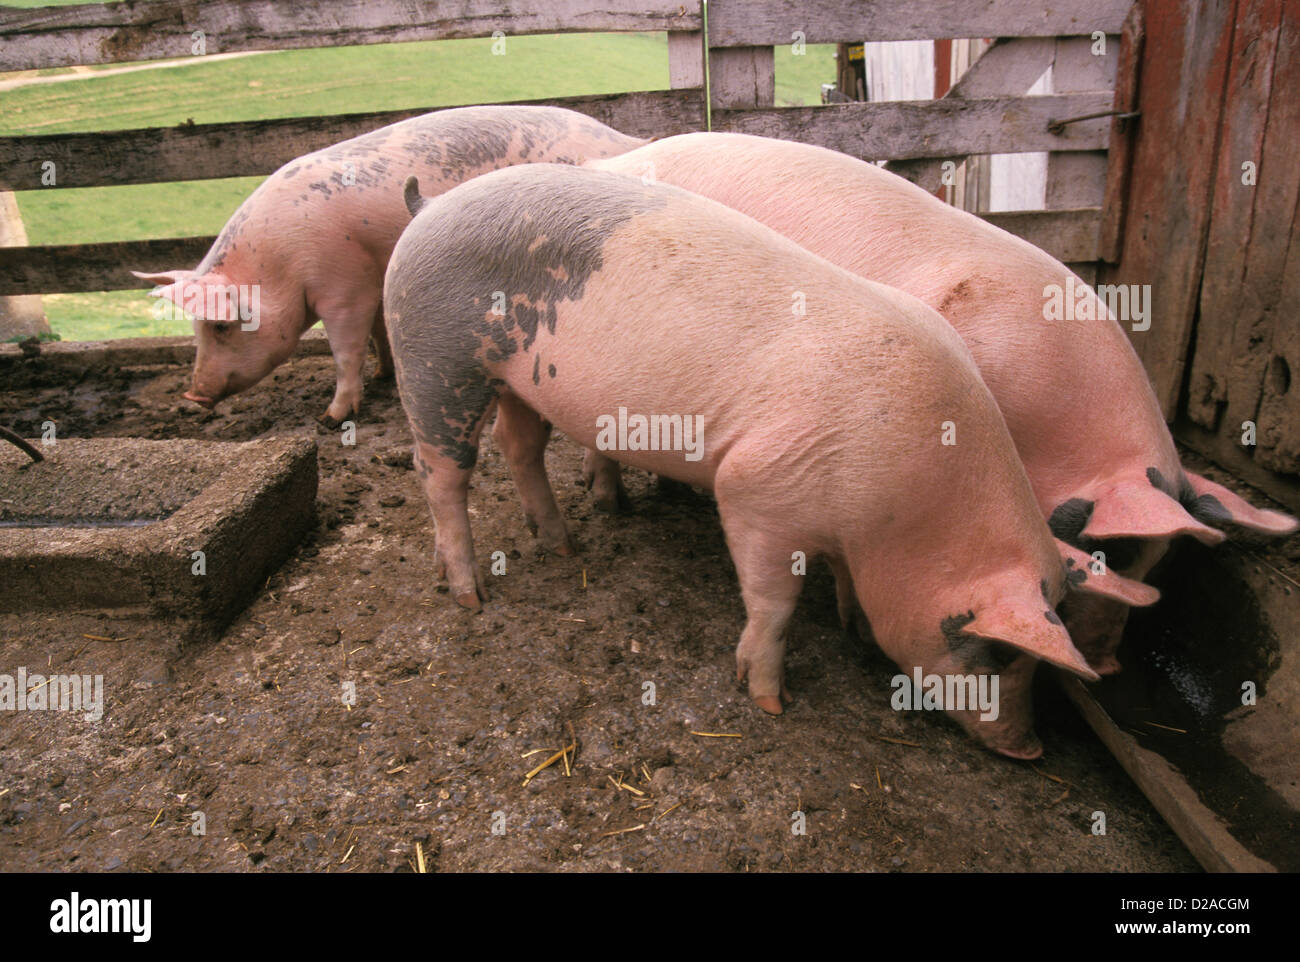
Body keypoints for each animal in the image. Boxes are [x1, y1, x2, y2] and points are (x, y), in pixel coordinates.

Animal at [132, 105, 646, 426]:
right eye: (197, 329)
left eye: (221, 327)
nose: (193, 395)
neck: (279, 263)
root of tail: (620, 138)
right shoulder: (372, 278)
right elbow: (378, 332)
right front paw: (382, 374)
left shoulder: (342, 287)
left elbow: (345, 351)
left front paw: (331, 418)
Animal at [383, 164, 1158, 758]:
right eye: (1001, 652)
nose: (1030, 749)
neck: (908, 513)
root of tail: (427, 206)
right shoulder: (758, 490)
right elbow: (774, 604)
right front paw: (769, 703)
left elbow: (843, 588)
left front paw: (850, 626)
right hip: (432, 359)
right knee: (440, 473)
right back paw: (469, 595)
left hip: (516, 380)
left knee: (519, 448)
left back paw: (562, 543)